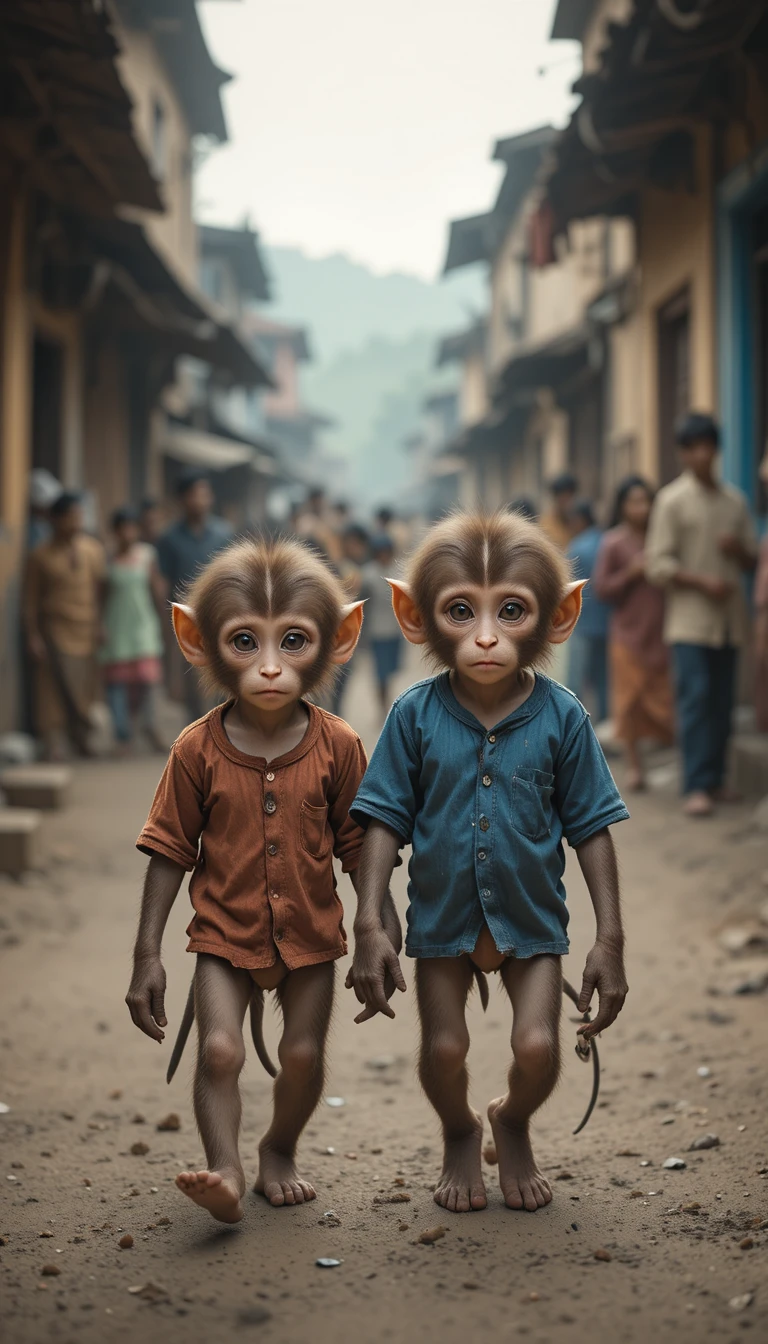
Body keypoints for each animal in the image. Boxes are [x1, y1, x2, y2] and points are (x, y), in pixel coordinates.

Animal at [126, 535, 401, 1225]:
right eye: (245, 641)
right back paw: (223, 1185)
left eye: (294, 640)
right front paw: (146, 983)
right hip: (224, 958)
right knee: (225, 1049)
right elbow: (169, 853)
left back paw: (277, 1172)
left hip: (308, 972)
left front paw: (383, 947)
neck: (271, 733)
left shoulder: (351, 754)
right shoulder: (184, 760)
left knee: (300, 1058)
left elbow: (360, 848)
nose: (273, 673)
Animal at [346, 510, 629, 1215]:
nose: (484, 641)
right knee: (447, 1052)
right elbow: (384, 823)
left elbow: (593, 834)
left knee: (532, 1049)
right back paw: (464, 1164)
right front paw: (371, 950)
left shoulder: (578, 727)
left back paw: (513, 1150)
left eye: (511, 609)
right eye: (459, 609)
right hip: (443, 957)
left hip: (532, 948)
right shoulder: (399, 727)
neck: (489, 703)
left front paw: (607, 971)